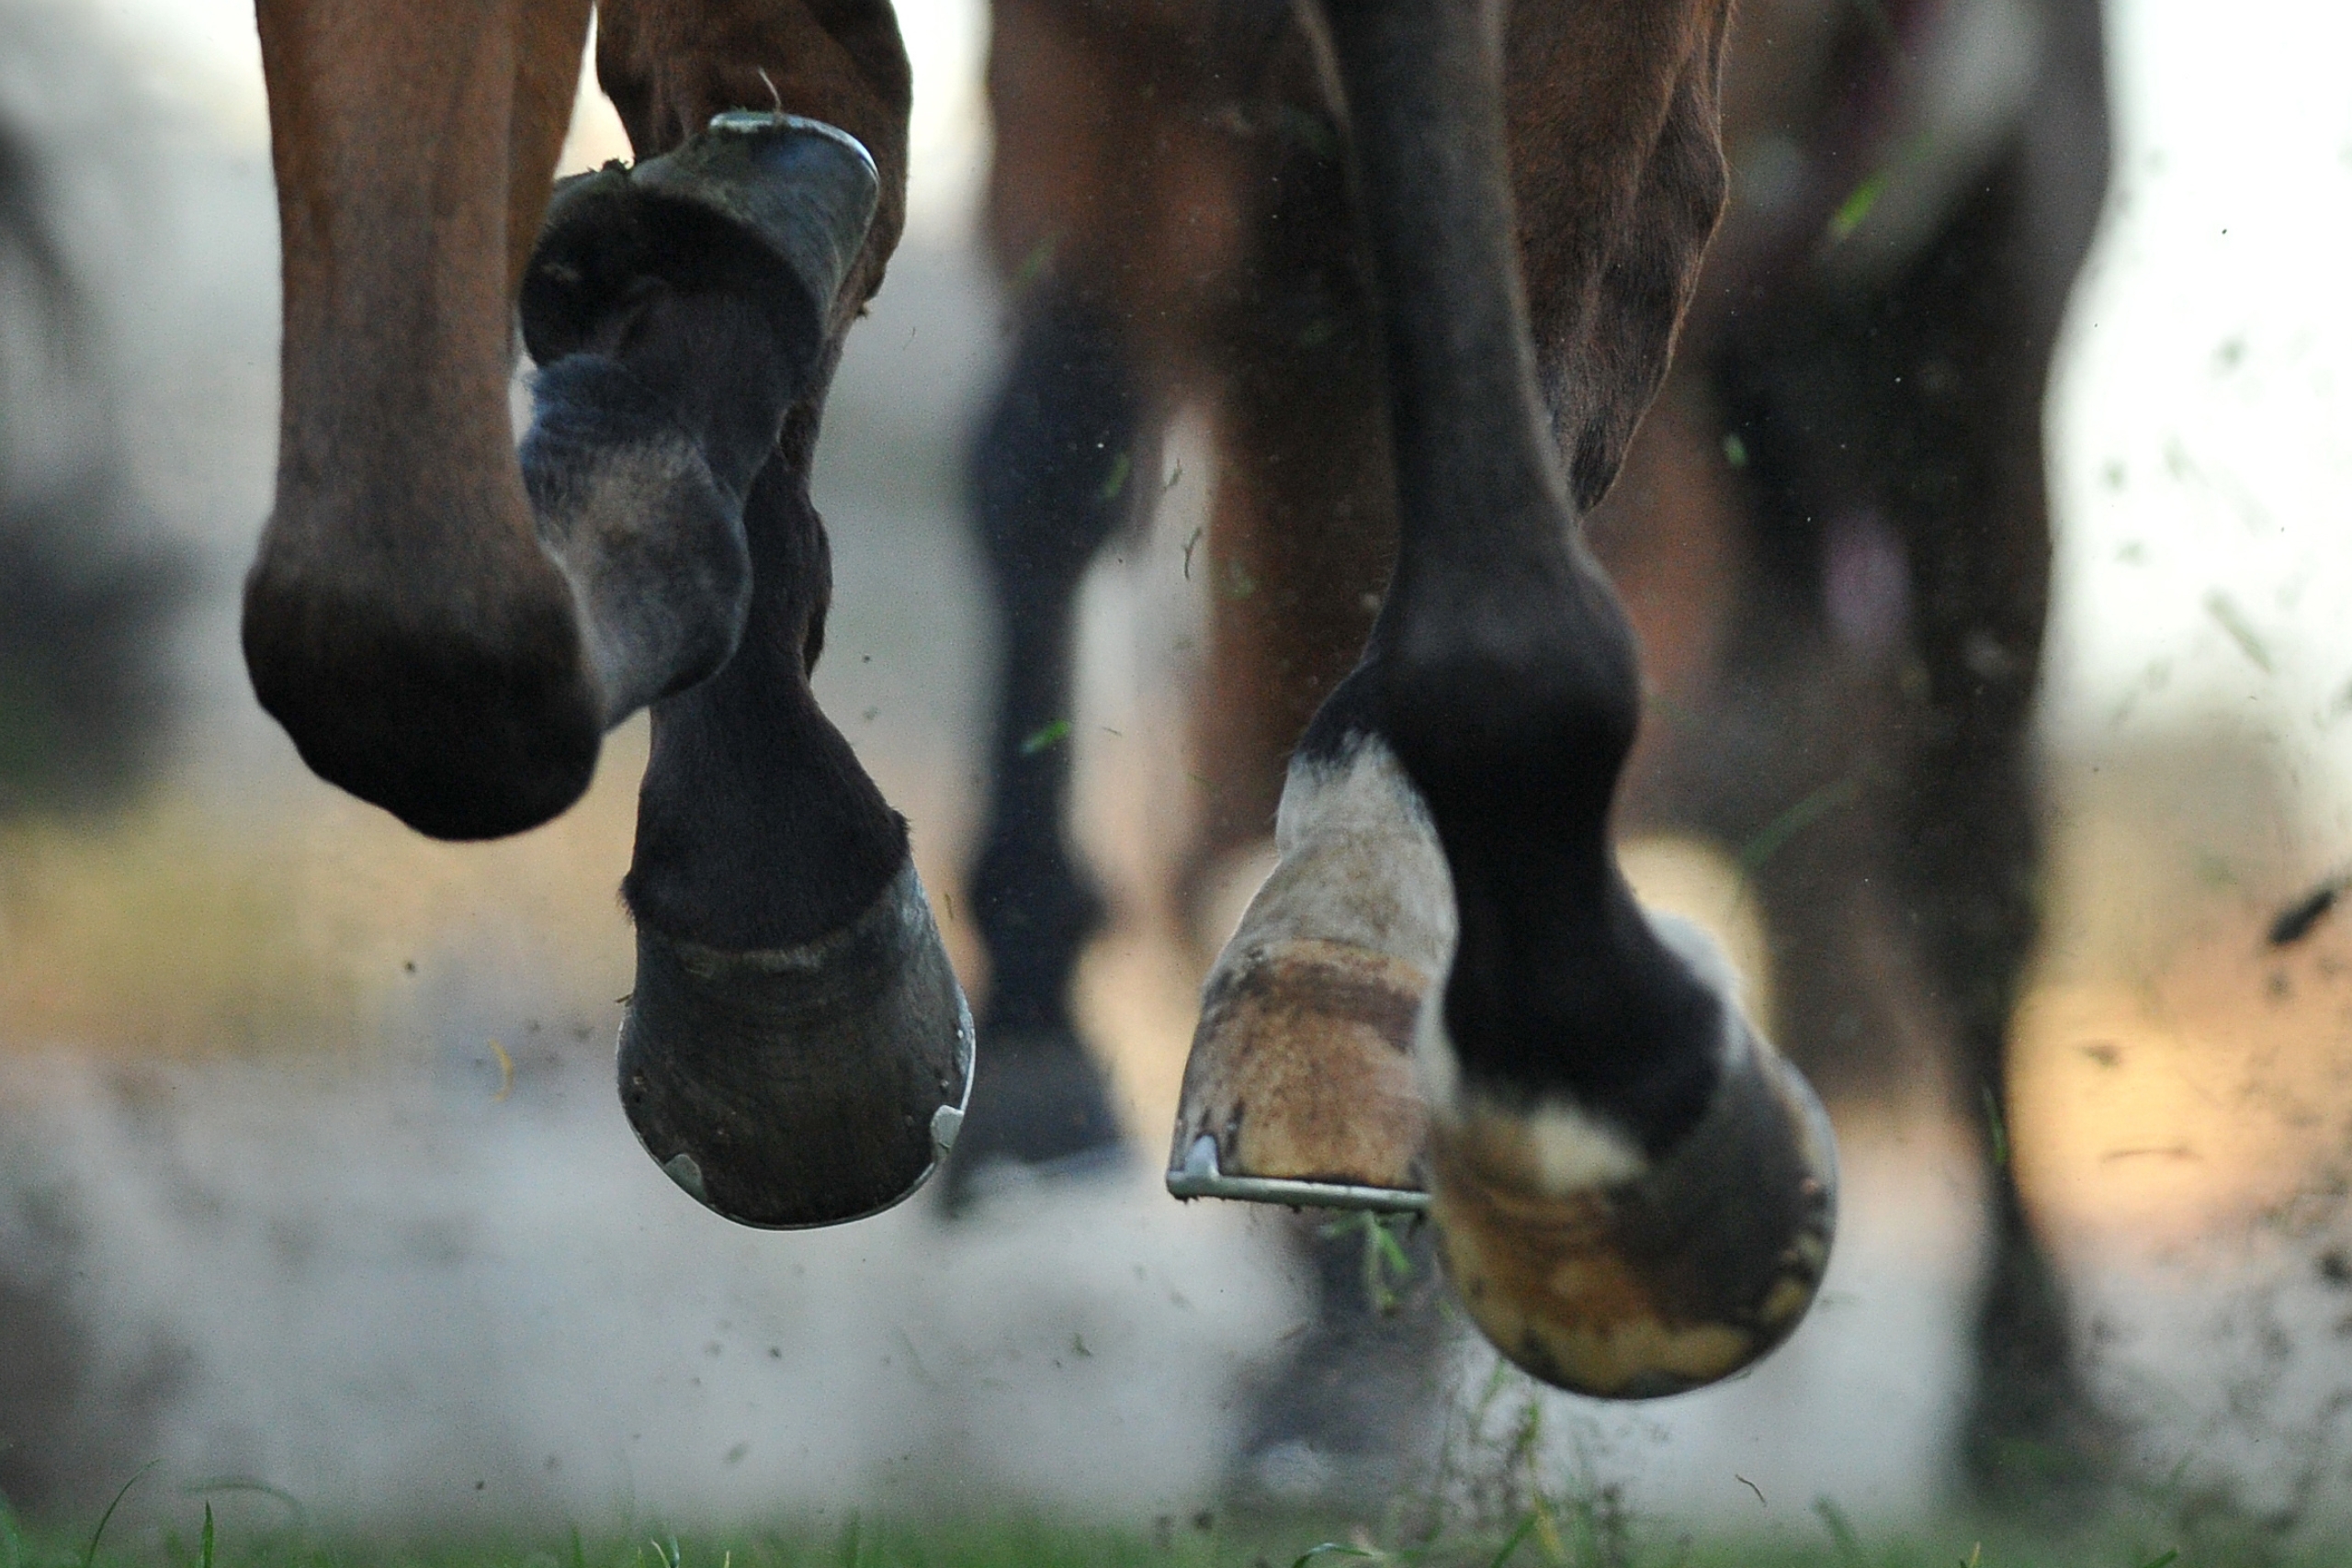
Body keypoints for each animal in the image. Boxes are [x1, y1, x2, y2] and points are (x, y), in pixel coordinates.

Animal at [945, 0, 2110, 1504]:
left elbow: (1529, 358)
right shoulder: (1092, 74)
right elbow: (1038, 457)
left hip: (1974, 335)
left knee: (1970, 865)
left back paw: (2032, 1397)